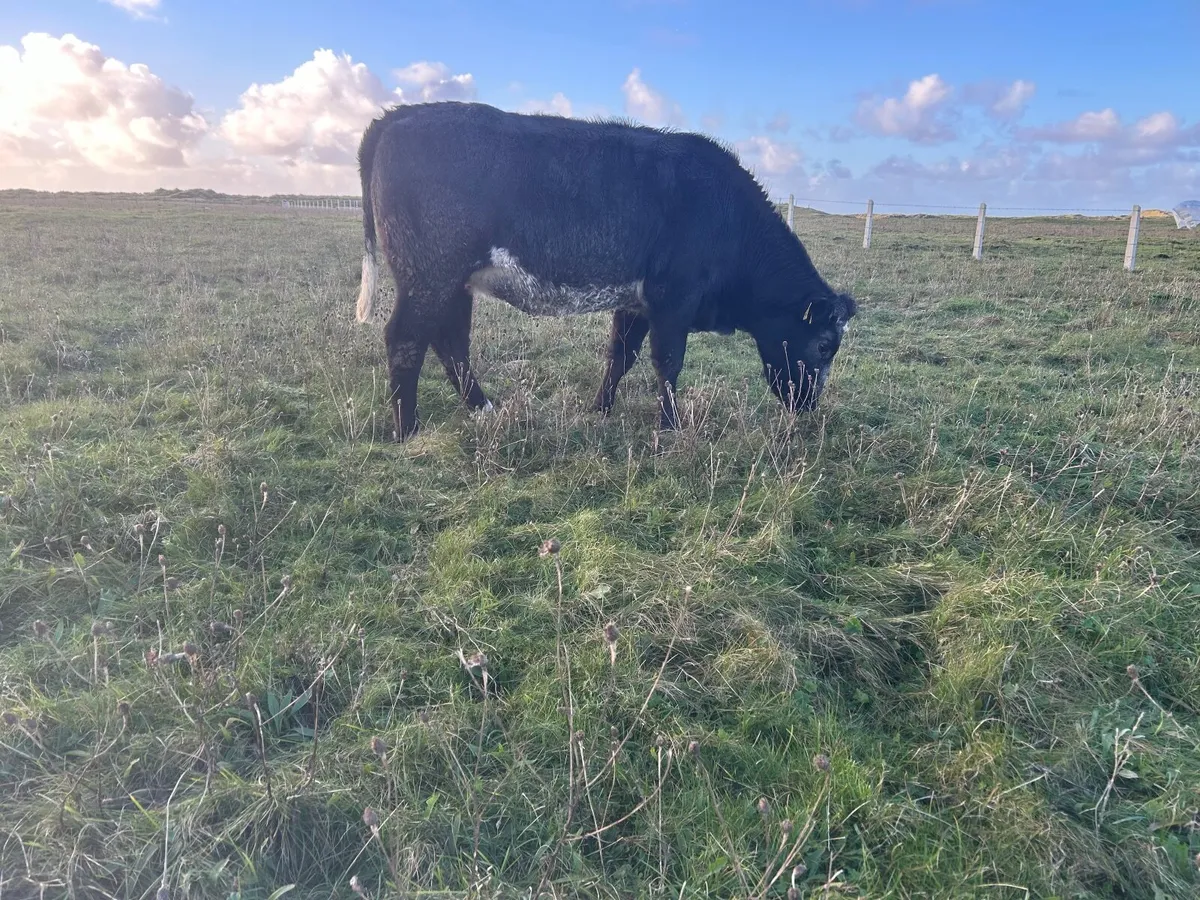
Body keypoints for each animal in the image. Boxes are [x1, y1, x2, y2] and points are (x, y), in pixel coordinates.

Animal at [353, 101, 857, 442]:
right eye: (824, 345)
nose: (809, 406)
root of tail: (399, 115)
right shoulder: (673, 297)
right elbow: (667, 362)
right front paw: (670, 427)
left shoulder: (636, 302)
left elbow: (620, 356)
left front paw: (601, 409)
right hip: (428, 275)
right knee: (406, 339)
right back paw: (408, 429)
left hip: (453, 282)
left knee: (451, 342)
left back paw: (483, 407)